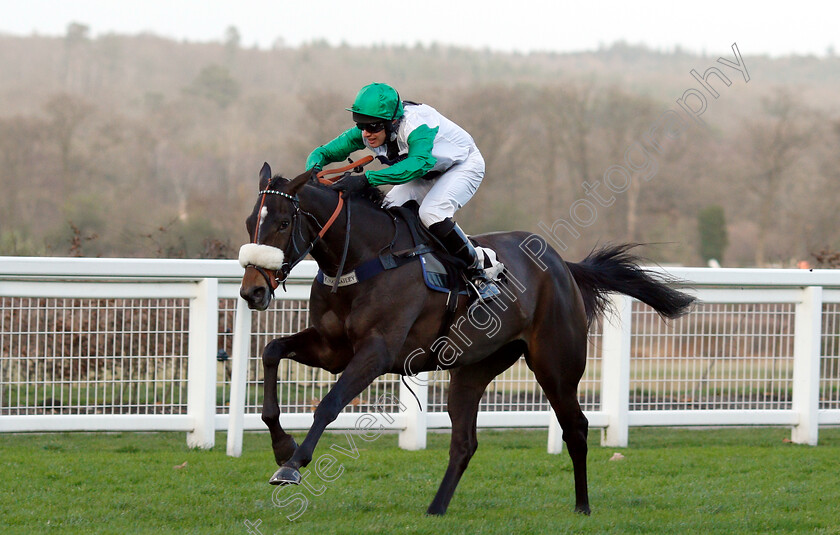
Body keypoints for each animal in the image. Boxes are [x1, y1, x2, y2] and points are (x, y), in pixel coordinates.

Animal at [238, 163, 696, 516]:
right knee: (464, 442)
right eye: (249, 222)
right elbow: (271, 351)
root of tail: (562, 265)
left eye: (283, 222)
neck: (363, 258)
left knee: (576, 428)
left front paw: (293, 464)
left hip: (556, 366)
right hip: (473, 369)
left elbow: (329, 403)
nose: (252, 292)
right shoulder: (332, 349)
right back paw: (436, 508)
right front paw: (281, 445)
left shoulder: (376, 352)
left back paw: (583, 506)